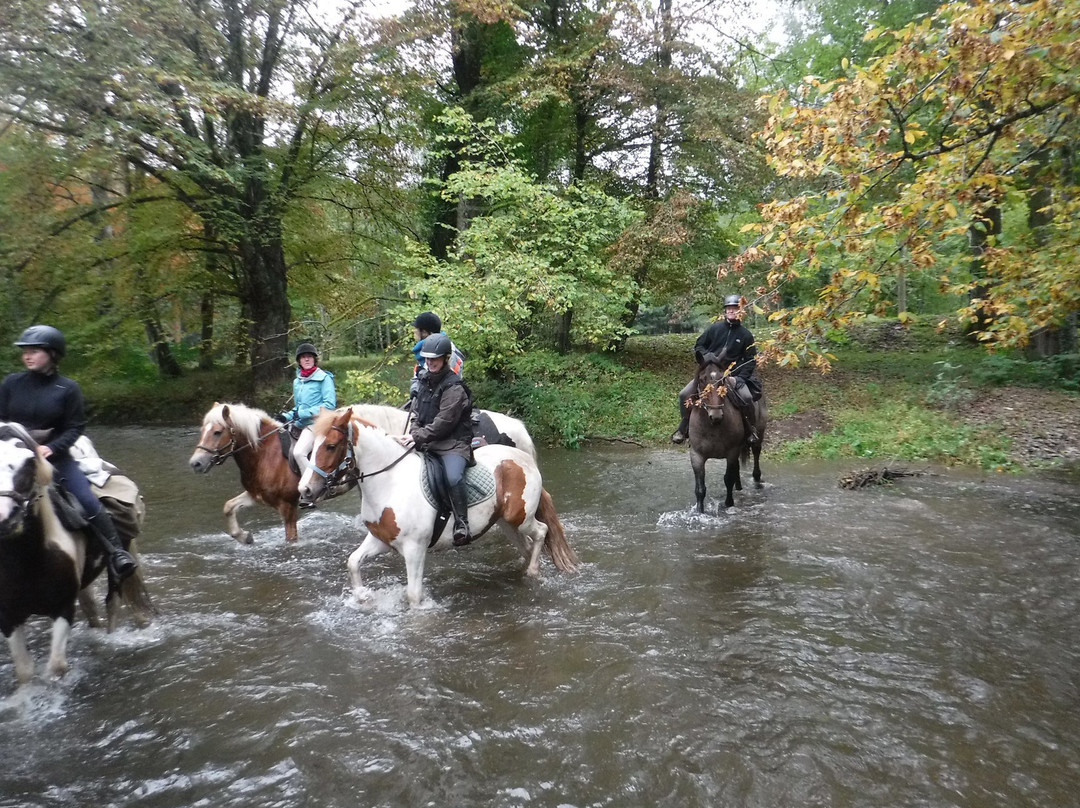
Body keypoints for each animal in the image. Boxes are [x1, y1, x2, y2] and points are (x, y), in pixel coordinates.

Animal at [0, 423, 153, 687]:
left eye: (30, 462)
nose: (3, 519)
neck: (25, 560)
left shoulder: (63, 608)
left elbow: (56, 667)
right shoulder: (8, 618)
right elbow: (24, 673)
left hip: (117, 567)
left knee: (112, 605)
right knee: (90, 607)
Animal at [300, 410, 578, 604]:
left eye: (331, 446)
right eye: (311, 448)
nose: (305, 490)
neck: (390, 482)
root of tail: (524, 459)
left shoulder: (414, 549)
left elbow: (413, 595)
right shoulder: (380, 539)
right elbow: (353, 562)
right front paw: (362, 597)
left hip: (521, 517)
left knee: (541, 532)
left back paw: (532, 572)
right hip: (505, 523)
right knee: (528, 545)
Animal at [686, 352, 764, 514]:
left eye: (722, 379)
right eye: (702, 380)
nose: (715, 416)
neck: (712, 427)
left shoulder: (731, 452)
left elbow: (728, 479)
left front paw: (729, 504)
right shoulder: (696, 456)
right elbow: (700, 489)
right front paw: (699, 512)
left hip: (758, 437)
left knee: (756, 455)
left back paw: (756, 480)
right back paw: (739, 487)